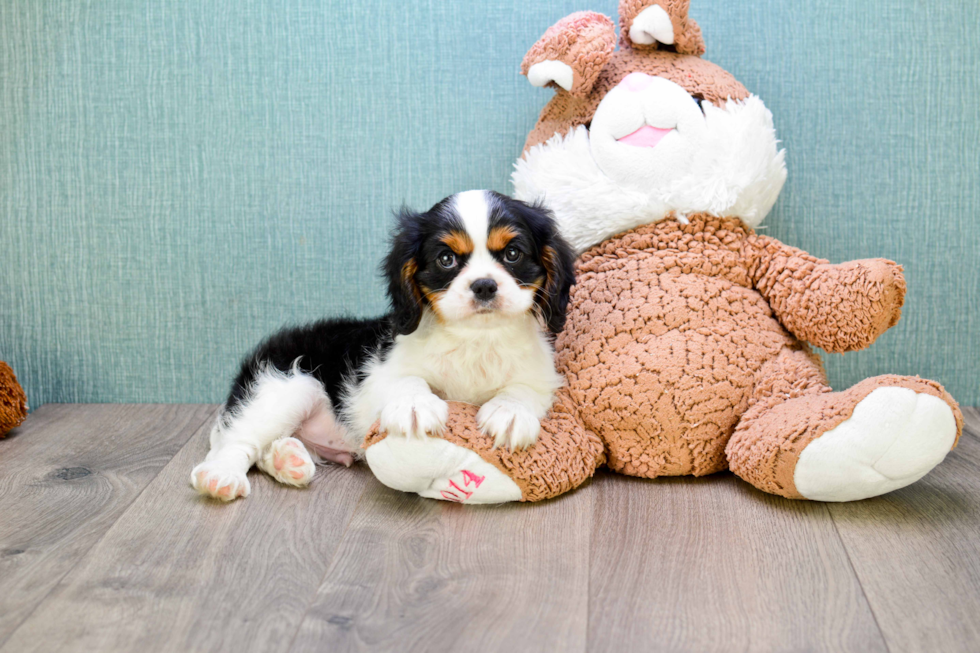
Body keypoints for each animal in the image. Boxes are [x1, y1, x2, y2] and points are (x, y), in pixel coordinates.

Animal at [189, 188, 576, 500]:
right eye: (446, 259)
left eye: (512, 254)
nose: (484, 285)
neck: (476, 339)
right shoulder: (379, 371)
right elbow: (407, 380)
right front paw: (415, 406)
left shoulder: (540, 376)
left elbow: (523, 390)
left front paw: (509, 413)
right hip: (284, 385)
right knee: (236, 441)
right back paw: (221, 476)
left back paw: (288, 459)